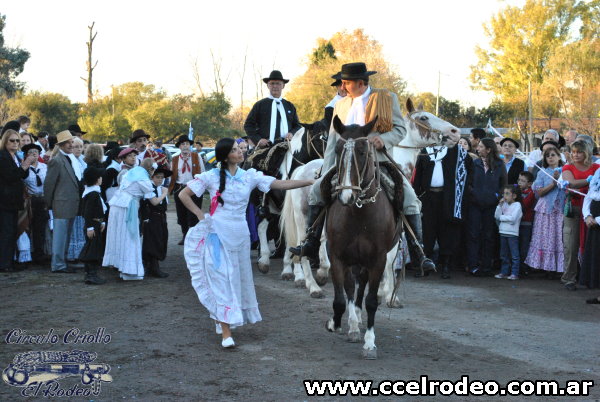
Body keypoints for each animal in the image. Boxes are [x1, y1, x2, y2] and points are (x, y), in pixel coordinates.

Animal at [324, 114, 398, 360]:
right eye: (338, 150)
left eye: (363, 151)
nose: (346, 195)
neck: (358, 213)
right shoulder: (337, 256)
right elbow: (340, 297)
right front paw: (337, 323)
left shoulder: (378, 259)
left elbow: (372, 301)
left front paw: (369, 343)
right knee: (349, 288)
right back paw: (353, 324)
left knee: (360, 287)